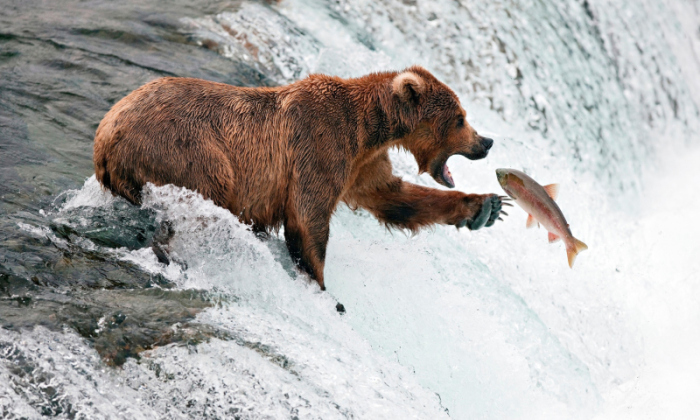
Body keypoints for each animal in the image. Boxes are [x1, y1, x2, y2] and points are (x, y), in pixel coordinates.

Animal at [94, 66, 508, 288]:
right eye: (460, 118)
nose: (486, 142)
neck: (370, 129)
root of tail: (105, 135)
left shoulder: (362, 165)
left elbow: (393, 197)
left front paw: (486, 207)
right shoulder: (320, 146)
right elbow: (308, 219)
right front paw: (320, 284)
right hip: (188, 150)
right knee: (203, 195)